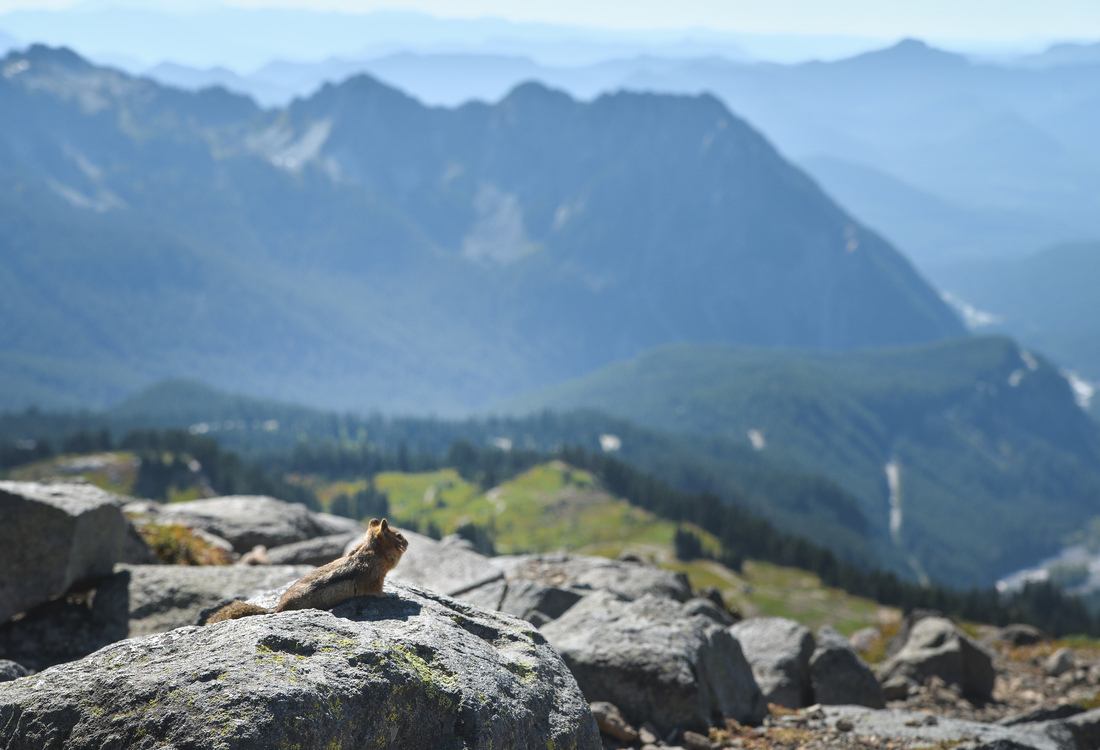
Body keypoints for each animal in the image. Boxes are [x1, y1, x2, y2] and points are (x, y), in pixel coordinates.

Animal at [206, 518, 409, 623]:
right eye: (398, 535)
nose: (407, 543)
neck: (373, 551)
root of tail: (278, 608)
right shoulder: (376, 578)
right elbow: (377, 591)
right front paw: (390, 595)